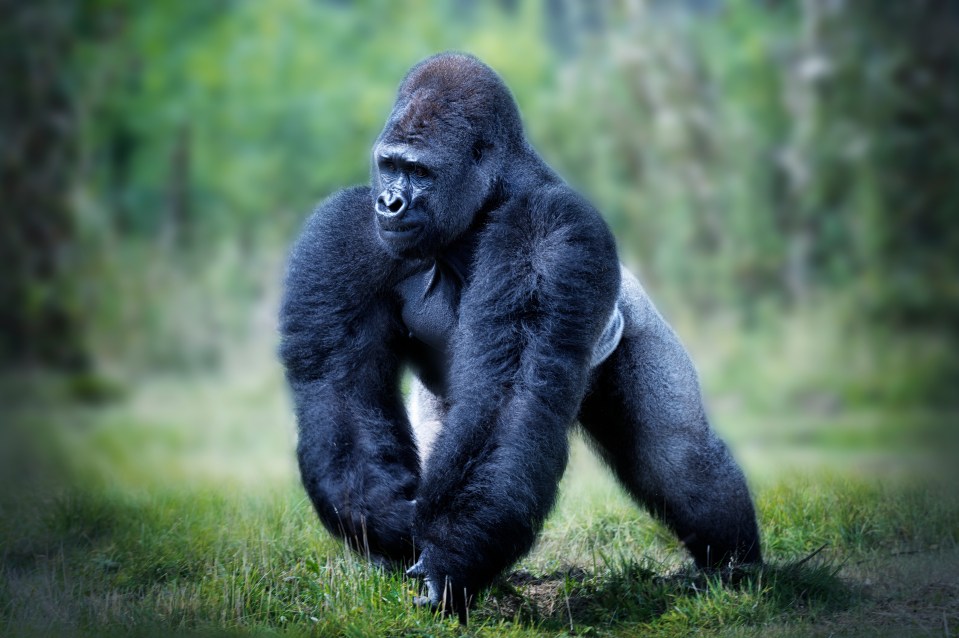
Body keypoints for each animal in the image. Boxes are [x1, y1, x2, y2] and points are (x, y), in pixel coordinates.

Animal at [276, 52, 756, 624]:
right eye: (390, 166)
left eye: (420, 172)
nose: (390, 203)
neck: (484, 204)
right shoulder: (348, 231)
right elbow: (340, 390)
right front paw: (385, 521)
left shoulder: (549, 232)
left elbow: (512, 396)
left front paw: (450, 560)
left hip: (634, 321)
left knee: (677, 455)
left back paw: (737, 567)